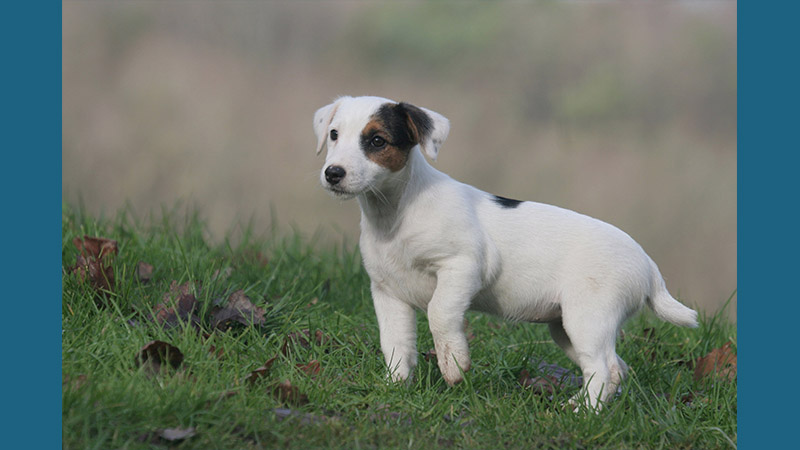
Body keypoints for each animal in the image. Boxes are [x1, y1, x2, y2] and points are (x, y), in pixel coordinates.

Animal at [312, 96, 692, 412]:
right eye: (333, 135)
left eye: (377, 141)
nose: (333, 174)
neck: (396, 212)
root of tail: (649, 267)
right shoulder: (388, 293)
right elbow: (395, 345)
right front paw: (395, 387)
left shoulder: (463, 266)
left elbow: (439, 313)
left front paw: (453, 363)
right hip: (566, 328)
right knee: (616, 368)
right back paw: (580, 405)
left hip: (589, 318)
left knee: (603, 368)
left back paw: (583, 414)